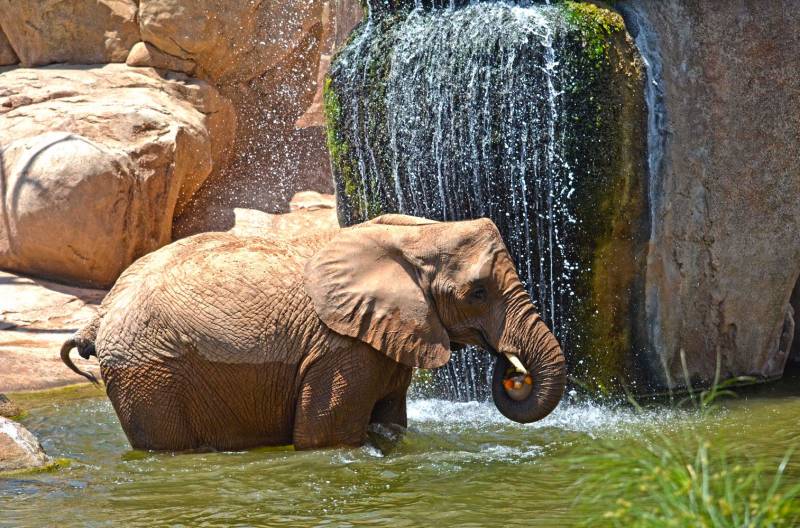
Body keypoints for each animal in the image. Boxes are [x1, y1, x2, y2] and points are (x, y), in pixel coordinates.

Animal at [59, 214, 564, 450]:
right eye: (477, 292)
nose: (512, 373)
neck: (415, 234)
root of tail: (102, 313)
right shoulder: (339, 349)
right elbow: (326, 437)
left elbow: (392, 421)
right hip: (149, 373)